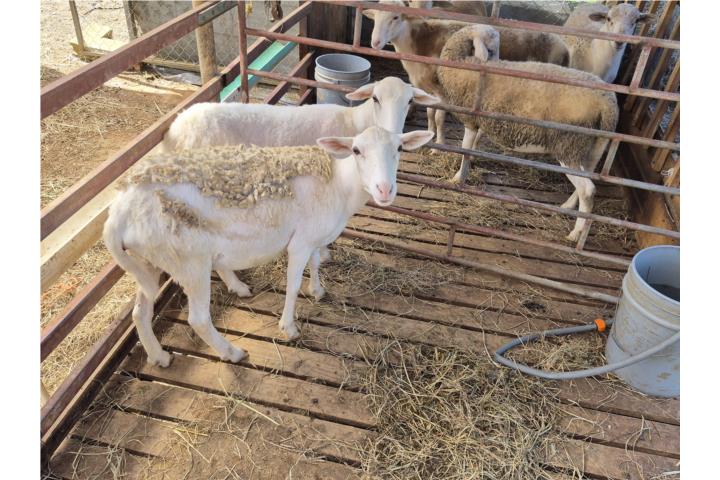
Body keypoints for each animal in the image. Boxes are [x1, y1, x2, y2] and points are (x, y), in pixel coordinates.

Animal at [104, 127, 434, 366]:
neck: (340, 185)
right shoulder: (300, 242)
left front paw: (318, 290)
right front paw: (289, 327)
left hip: (149, 260)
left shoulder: (313, 235)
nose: (385, 189)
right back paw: (232, 352)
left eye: (400, 148)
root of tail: (118, 211)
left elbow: (316, 263)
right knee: (198, 319)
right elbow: (293, 285)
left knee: (139, 312)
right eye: (356, 150)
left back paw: (159, 356)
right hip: (188, 261)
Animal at [160, 76, 439, 299]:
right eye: (375, 98)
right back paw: (237, 285)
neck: (353, 123)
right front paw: (323, 254)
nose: (392, 131)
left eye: (410, 101)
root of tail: (173, 131)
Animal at [364, 0, 569, 147]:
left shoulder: (443, 90)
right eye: (374, 17)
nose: (375, 42)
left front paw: (439, 143)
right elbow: (429, 114)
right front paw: (430, 134)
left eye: (396, 17)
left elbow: (439, 117)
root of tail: (564, 48)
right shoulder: (428, 89)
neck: (419, 41)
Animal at [436, 25, 619, 242]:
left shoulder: (471, 120)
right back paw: (568, 207)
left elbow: (465, 149)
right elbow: (474, 146)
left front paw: (458, 178)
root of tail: (608, 103)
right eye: (492, 48)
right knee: (587, 180)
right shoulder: (483, 119)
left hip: (568, 146)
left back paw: (575, 233)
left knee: (588, 190)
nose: (494, 62)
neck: (463, 61)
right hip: (592, 145)